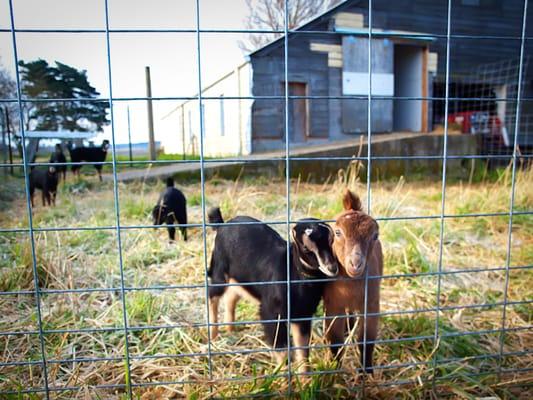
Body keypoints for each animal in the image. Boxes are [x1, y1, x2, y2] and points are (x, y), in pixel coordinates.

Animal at [207, 208, 336, 374]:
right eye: (306, 248)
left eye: (333, 241)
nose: (332, 268)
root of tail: (222, 225)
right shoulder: (272, 313)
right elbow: (281, 347)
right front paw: (283, 376)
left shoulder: (302, 314)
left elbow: (303, 350)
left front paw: (306, 379)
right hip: (220, 268)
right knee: (213, 294)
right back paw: (213, 335)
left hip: (241, 277)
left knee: (232, 295)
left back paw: (230, 329)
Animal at [320, 189, 382, 374]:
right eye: (338, 232)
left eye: (375, 235)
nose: (355, 263)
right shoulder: (333, 304)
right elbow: (334, 340)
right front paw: (334, 369)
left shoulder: (371, 303)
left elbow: (366, 339)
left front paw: (367, 371)